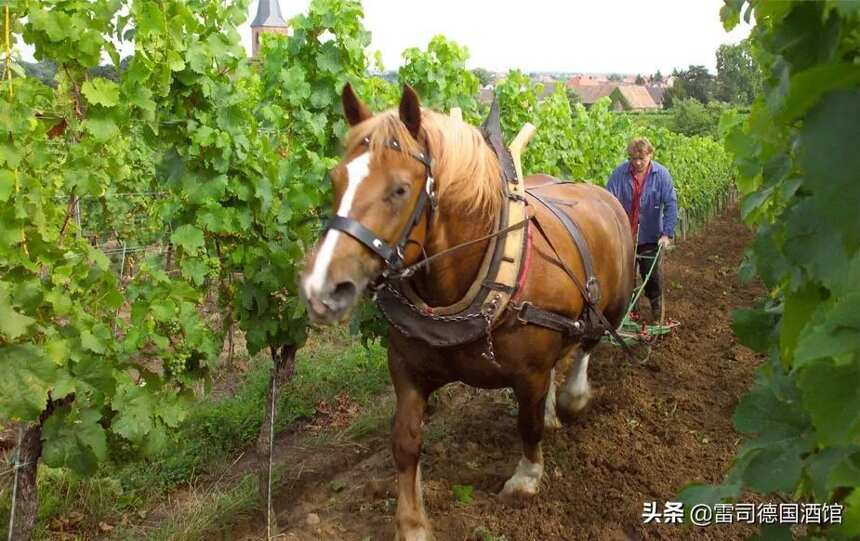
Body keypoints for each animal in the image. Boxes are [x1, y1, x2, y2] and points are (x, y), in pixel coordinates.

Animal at [298, 83, 636, 536]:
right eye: (335, 179)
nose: (321, 288)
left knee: (587, 346)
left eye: (400, 189)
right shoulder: (406, 367)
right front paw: (412, 523)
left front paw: (526, 479)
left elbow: (527, 422)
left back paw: (573, 397)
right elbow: (404, 441)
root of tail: (600, 193)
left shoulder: (529, 372)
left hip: (610, 306)